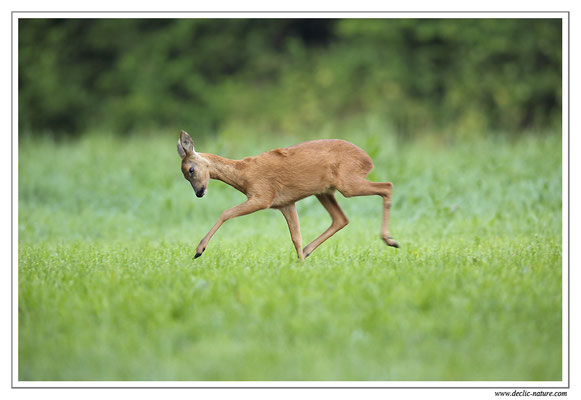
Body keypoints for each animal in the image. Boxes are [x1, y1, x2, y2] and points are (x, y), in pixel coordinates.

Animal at [176, 130, 398, 260]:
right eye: (185, 175)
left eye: (191, 170)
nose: (199, 193)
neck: (245, 175)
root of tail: (368, 159)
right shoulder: (286, 203)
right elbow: (295, 236)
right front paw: (300, 264)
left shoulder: (263, 196)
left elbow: (226, 213)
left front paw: (199, 250)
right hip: (324, 191)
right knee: (341, 218)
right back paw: (307, 252)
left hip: (348, 183)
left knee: (387, 186)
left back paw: (390, 240)